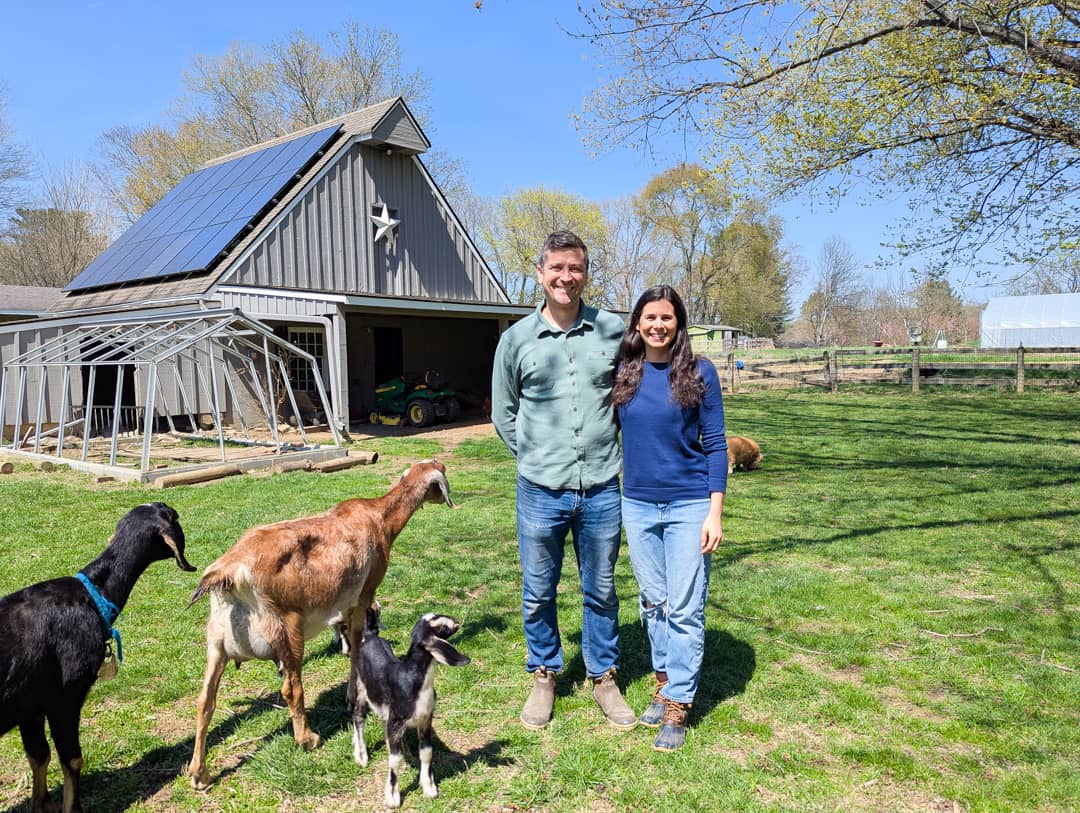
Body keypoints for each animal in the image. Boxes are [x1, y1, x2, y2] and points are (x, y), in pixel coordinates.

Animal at [0, 502, 194, 813]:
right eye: (174, 517)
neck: (92, 595)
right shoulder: (64, 697)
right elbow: (72, 758)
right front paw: (72, 807)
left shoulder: (29, 705)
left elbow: (38, 755)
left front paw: (42, 804)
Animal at [187, 459, 454, 790]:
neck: (379, 517)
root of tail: (229, 572)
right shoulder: (363, 594)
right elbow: (357, 644)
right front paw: (352, 694)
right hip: (286, 629)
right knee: (291, 688)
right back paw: (308, 739)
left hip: (217, 641)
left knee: (205, 701)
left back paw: (199, 774)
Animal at [352, 608, 470, 808]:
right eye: (441, 627)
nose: (456, 621)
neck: (412, 679)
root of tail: (370, 636)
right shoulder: (397, 720)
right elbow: (395, 760)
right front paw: (392, 797)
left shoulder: (425, 719)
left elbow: (427, 752)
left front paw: (429, 788)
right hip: (361, 688)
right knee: (357, 716)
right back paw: (361, 756)